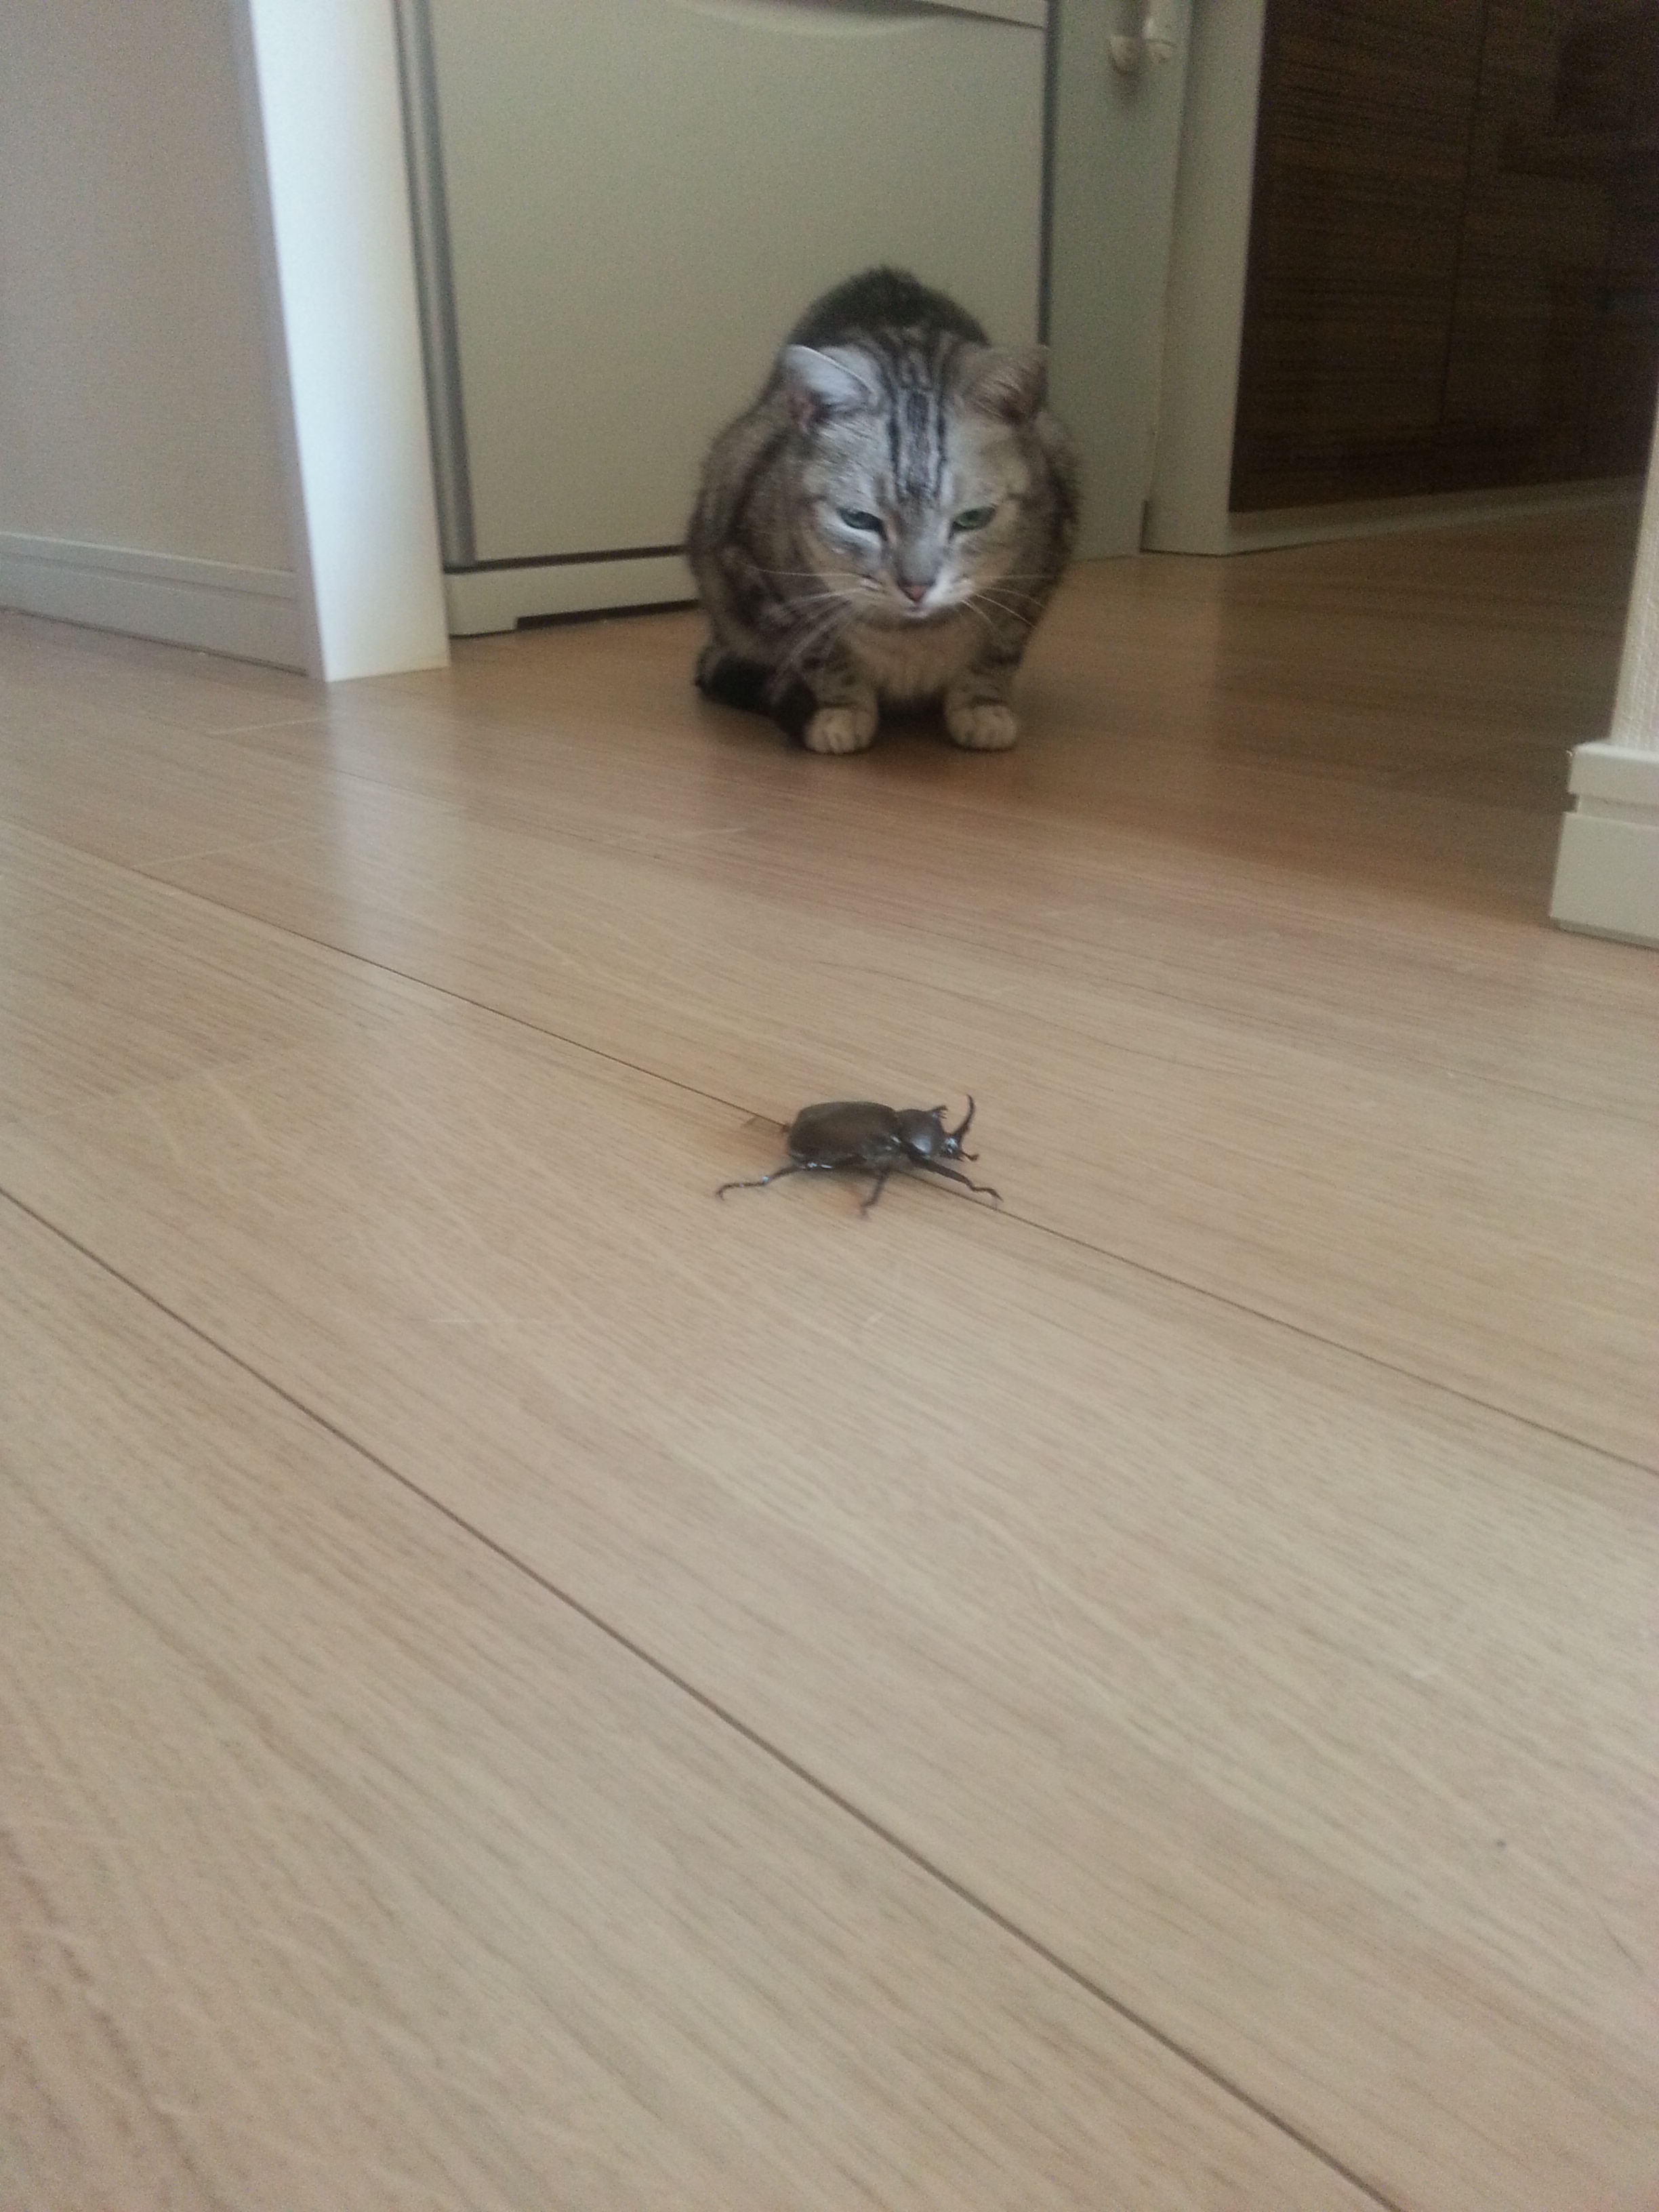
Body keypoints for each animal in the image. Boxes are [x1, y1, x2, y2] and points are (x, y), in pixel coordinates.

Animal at [687, 267, 1078, 756]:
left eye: (972, 520)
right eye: (859, 521)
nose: (916, 587)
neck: (912, 638)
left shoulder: (1040, 576)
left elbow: (998, 651)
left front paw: (982, 708)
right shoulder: (758, 574)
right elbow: (821, 654)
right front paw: (841, 713)